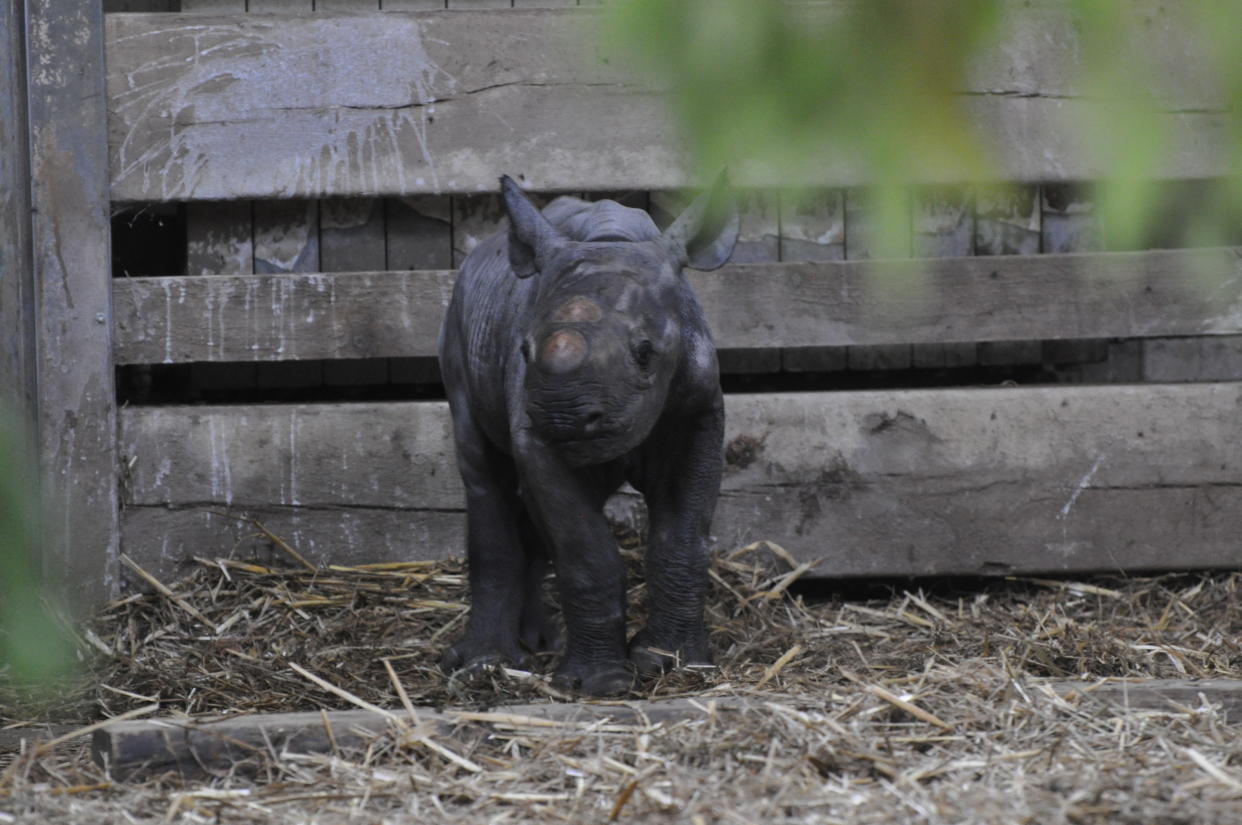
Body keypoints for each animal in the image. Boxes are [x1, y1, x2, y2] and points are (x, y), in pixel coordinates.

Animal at [439, 175, 735, 695]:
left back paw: (538, 643)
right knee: (484, 473)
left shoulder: (697, 413)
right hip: (456, 323)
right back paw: (486, 663)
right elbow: (584, 551)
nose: (564, 417)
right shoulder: (536, 434)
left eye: (645, 352)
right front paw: (598, 685)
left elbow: (682, 537)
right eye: (524, 349)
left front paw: (674, 662)